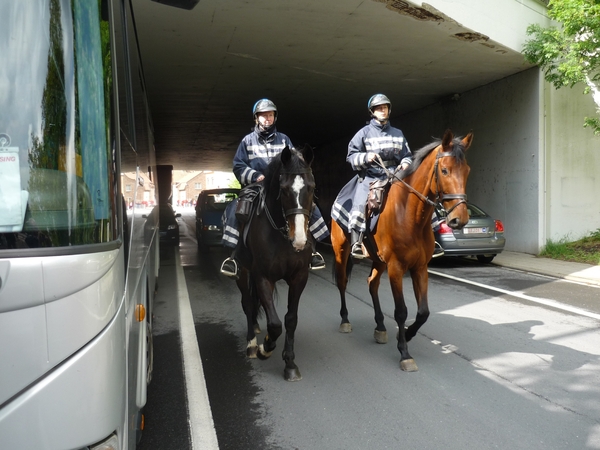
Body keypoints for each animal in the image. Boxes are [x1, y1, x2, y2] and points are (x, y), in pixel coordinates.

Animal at [236, 144, 316, 380]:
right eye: (284, 189)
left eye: (311, 188)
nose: (299, 240)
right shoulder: (262, 277)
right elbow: (274, 324)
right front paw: (265, 348)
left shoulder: (299, 277)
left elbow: (290, 319)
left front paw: (290, 363)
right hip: (243, 272)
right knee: (248, 304)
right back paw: (252, 344)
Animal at [328, 128, 474, 370]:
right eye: (445, 170)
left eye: (467, 171)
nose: (459, 219)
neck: (409, 215)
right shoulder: (396, 268)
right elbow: (401, 311)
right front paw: (404, 353)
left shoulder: (420, 267)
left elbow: (423, 312)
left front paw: (405, 334)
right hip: (341, 250)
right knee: (342, 282)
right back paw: (345, 320)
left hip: (378, 260)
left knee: (372, 283)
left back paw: (380, 327)